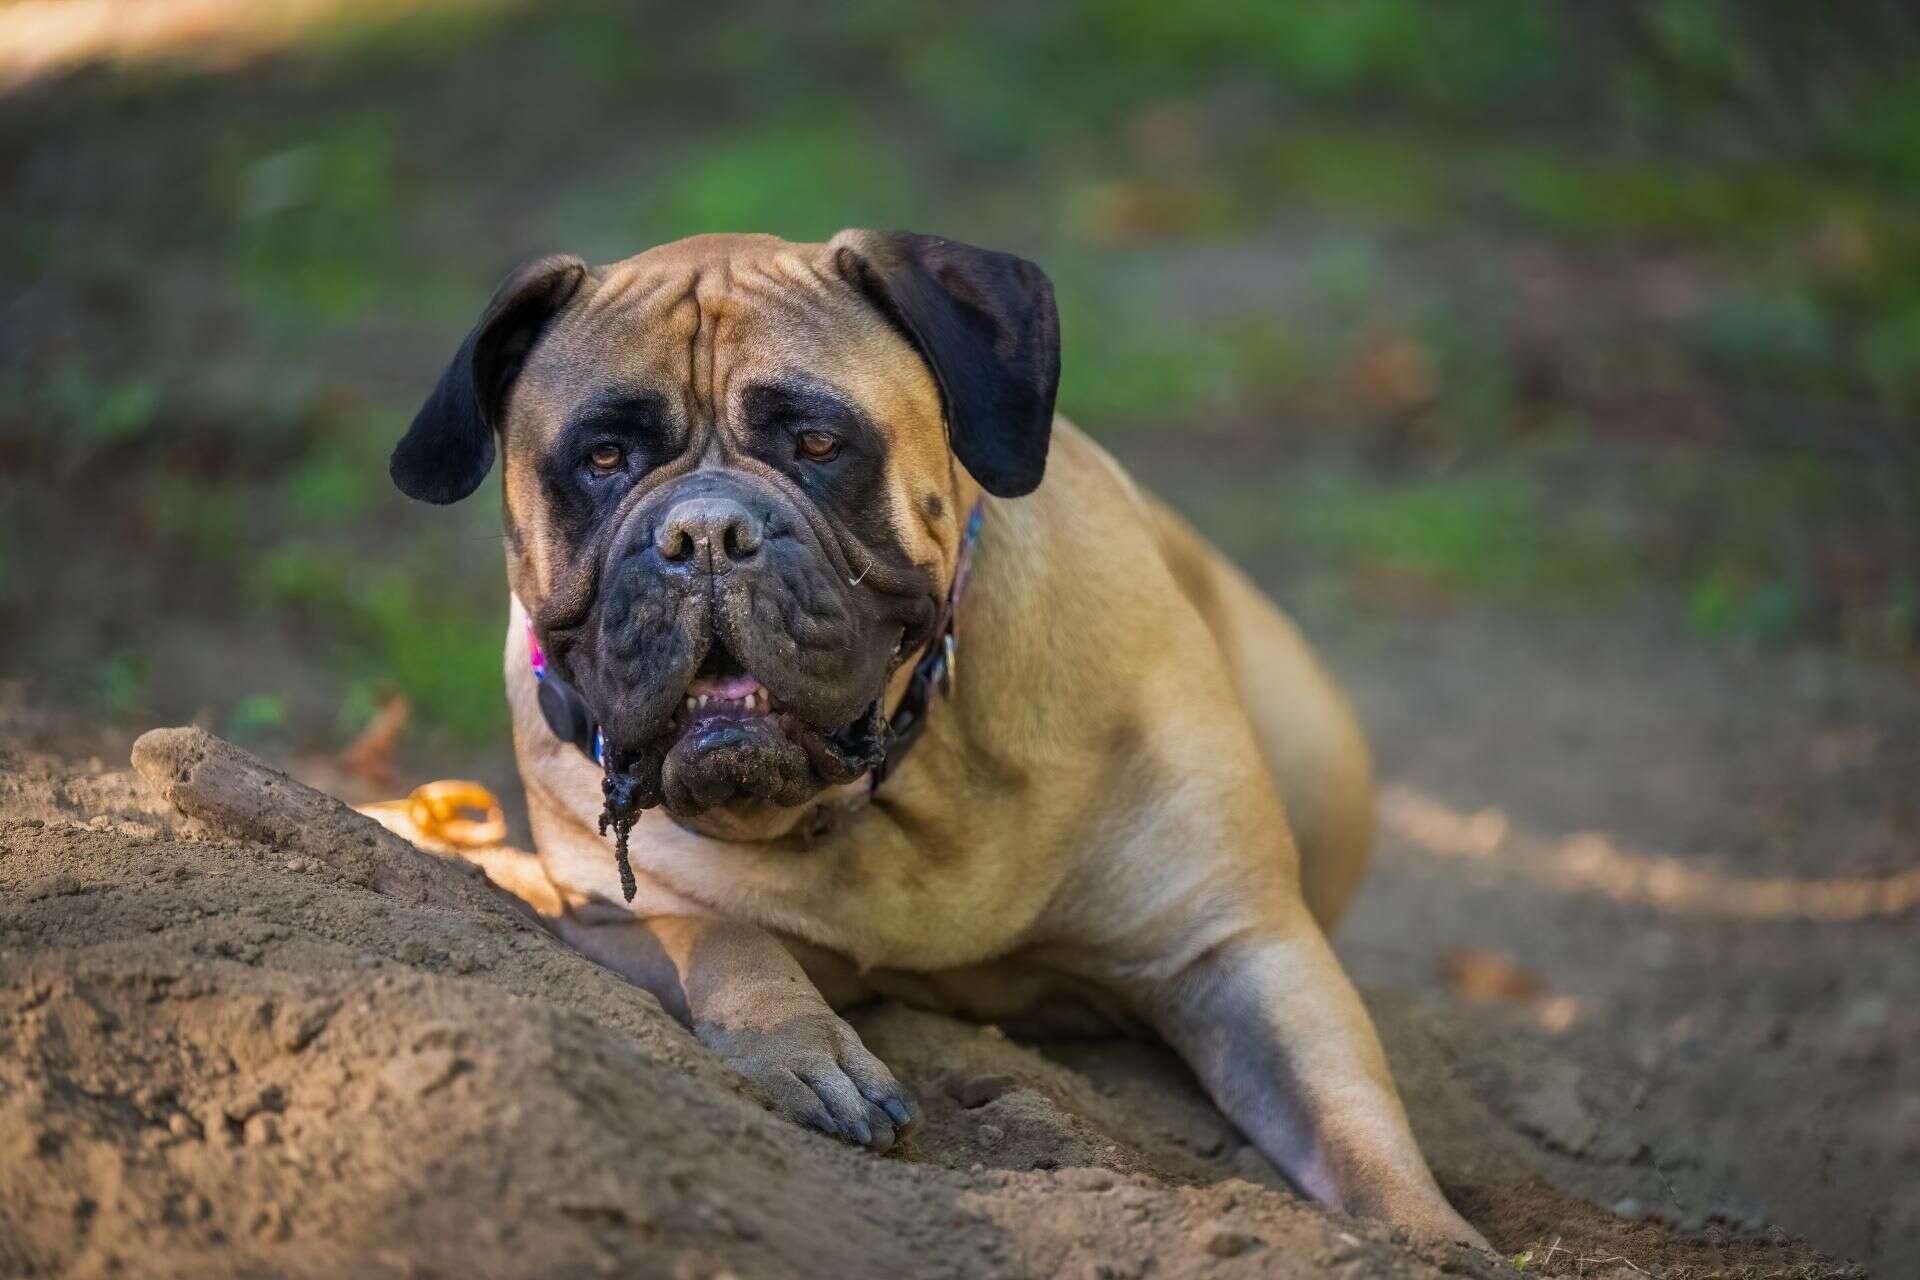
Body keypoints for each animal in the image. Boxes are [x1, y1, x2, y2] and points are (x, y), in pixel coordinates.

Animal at [385, 233, 1482, 1251]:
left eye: (818, 441)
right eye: (603, 459)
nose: (704, 535)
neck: (897, 784)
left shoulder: (1237, 946)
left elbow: (1353, 1126)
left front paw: (1431, 1238)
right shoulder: (602, 916)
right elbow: (719, 935)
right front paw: (802, 1048)